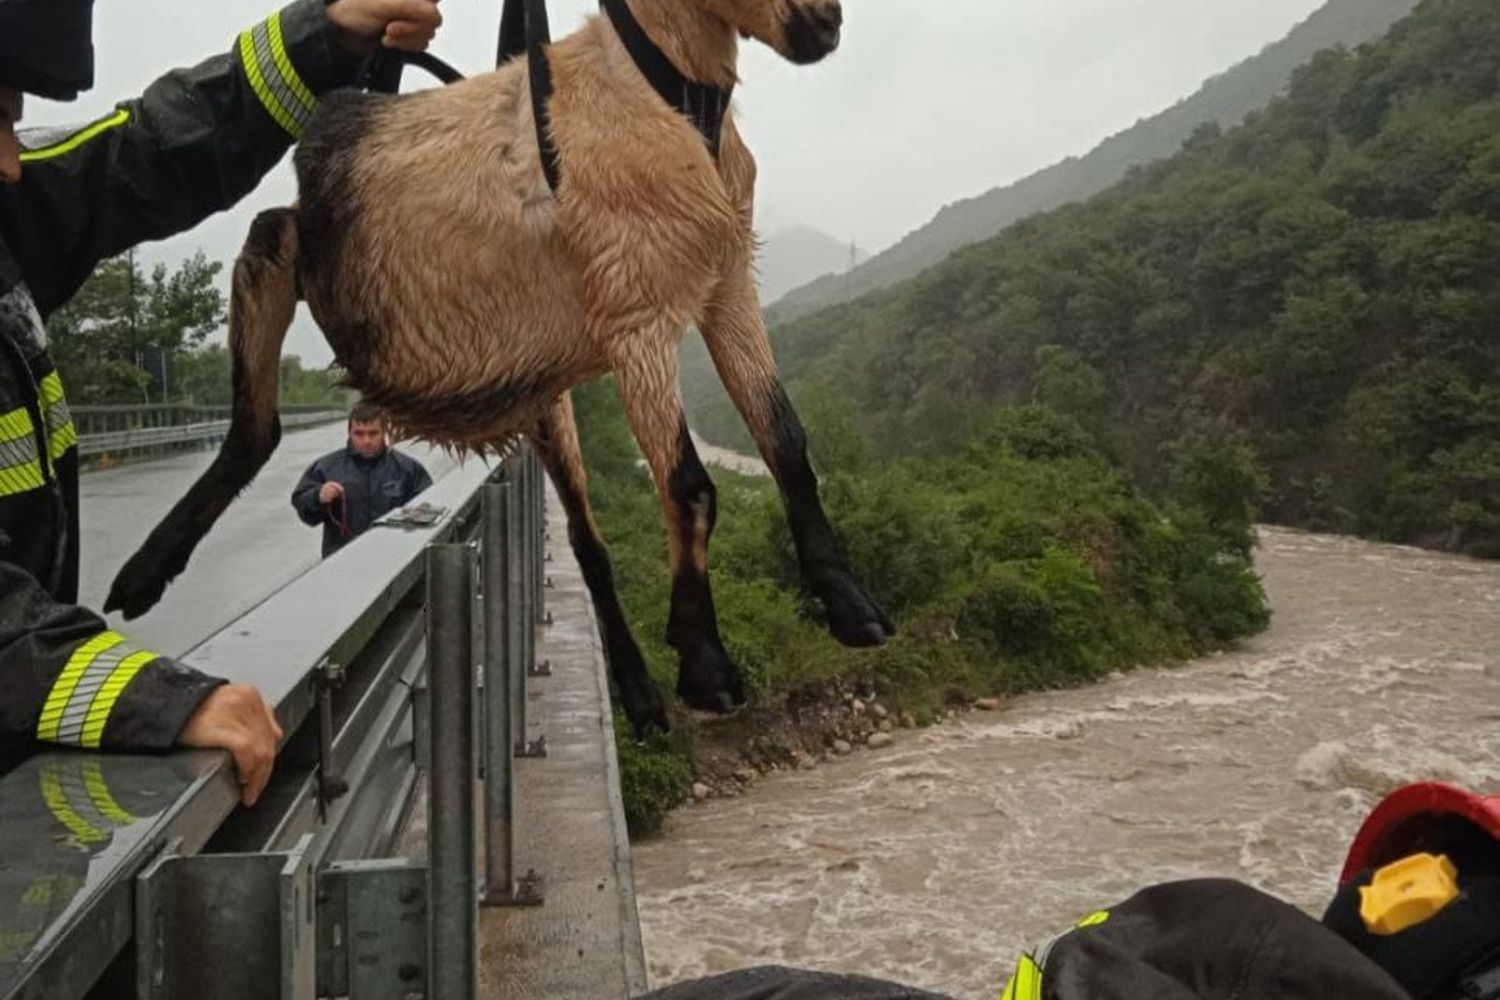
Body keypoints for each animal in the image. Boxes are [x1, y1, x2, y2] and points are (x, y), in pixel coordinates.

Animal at [105, 0, 893, 738]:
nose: (824, 24)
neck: (665, 95)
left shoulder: (727, 287)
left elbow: (785, 441)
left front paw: (855, 609)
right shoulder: (638, 309)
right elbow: (690, 485)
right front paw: (707, 667)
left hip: (544, 395)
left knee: (586, 541)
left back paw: (640, 698)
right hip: (286, 248)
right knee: (258, 422)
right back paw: (140, 576)